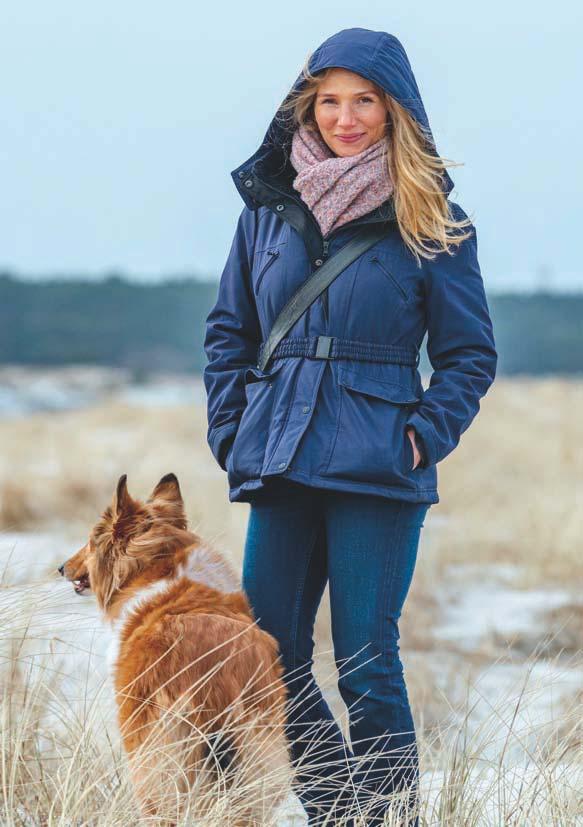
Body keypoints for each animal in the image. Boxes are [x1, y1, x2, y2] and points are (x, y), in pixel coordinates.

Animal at [59, 473, 293, 825]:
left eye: (90, 540)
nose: (61, 568)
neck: (158, 566)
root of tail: (216, 676)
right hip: (259, 751)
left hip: (157, 757)